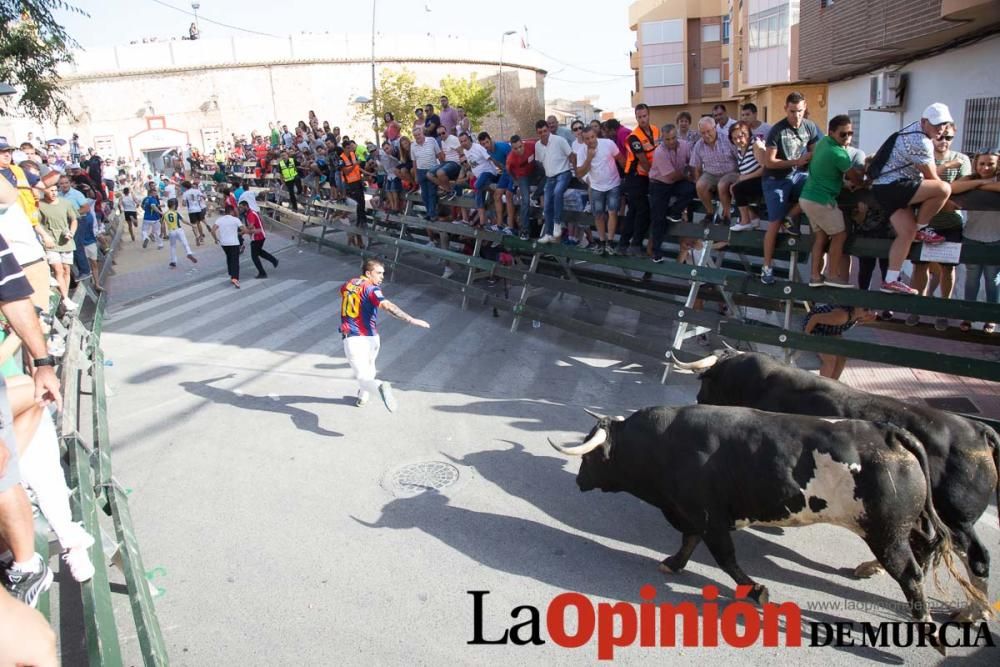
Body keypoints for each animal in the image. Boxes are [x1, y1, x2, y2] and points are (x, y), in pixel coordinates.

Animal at [548, 402, 976, 632]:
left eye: (589, 456)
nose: (579, 481)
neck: (663, 443)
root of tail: (890, 432)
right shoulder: (694, 513)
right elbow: (689, 541)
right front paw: (674, 563)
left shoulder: (709, 515)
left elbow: (726, 558)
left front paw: (755, 590)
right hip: (906, 529)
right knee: (922, 553)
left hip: (886, 534)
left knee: (910, 573)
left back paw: (924, 625)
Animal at [696, 352, 1000, 620]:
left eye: (705, 384)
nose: (698, 399)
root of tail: (980, 431)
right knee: (920, 545)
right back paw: (872, 567)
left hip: (958, 520)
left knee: (976, 557)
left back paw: (973, 612)